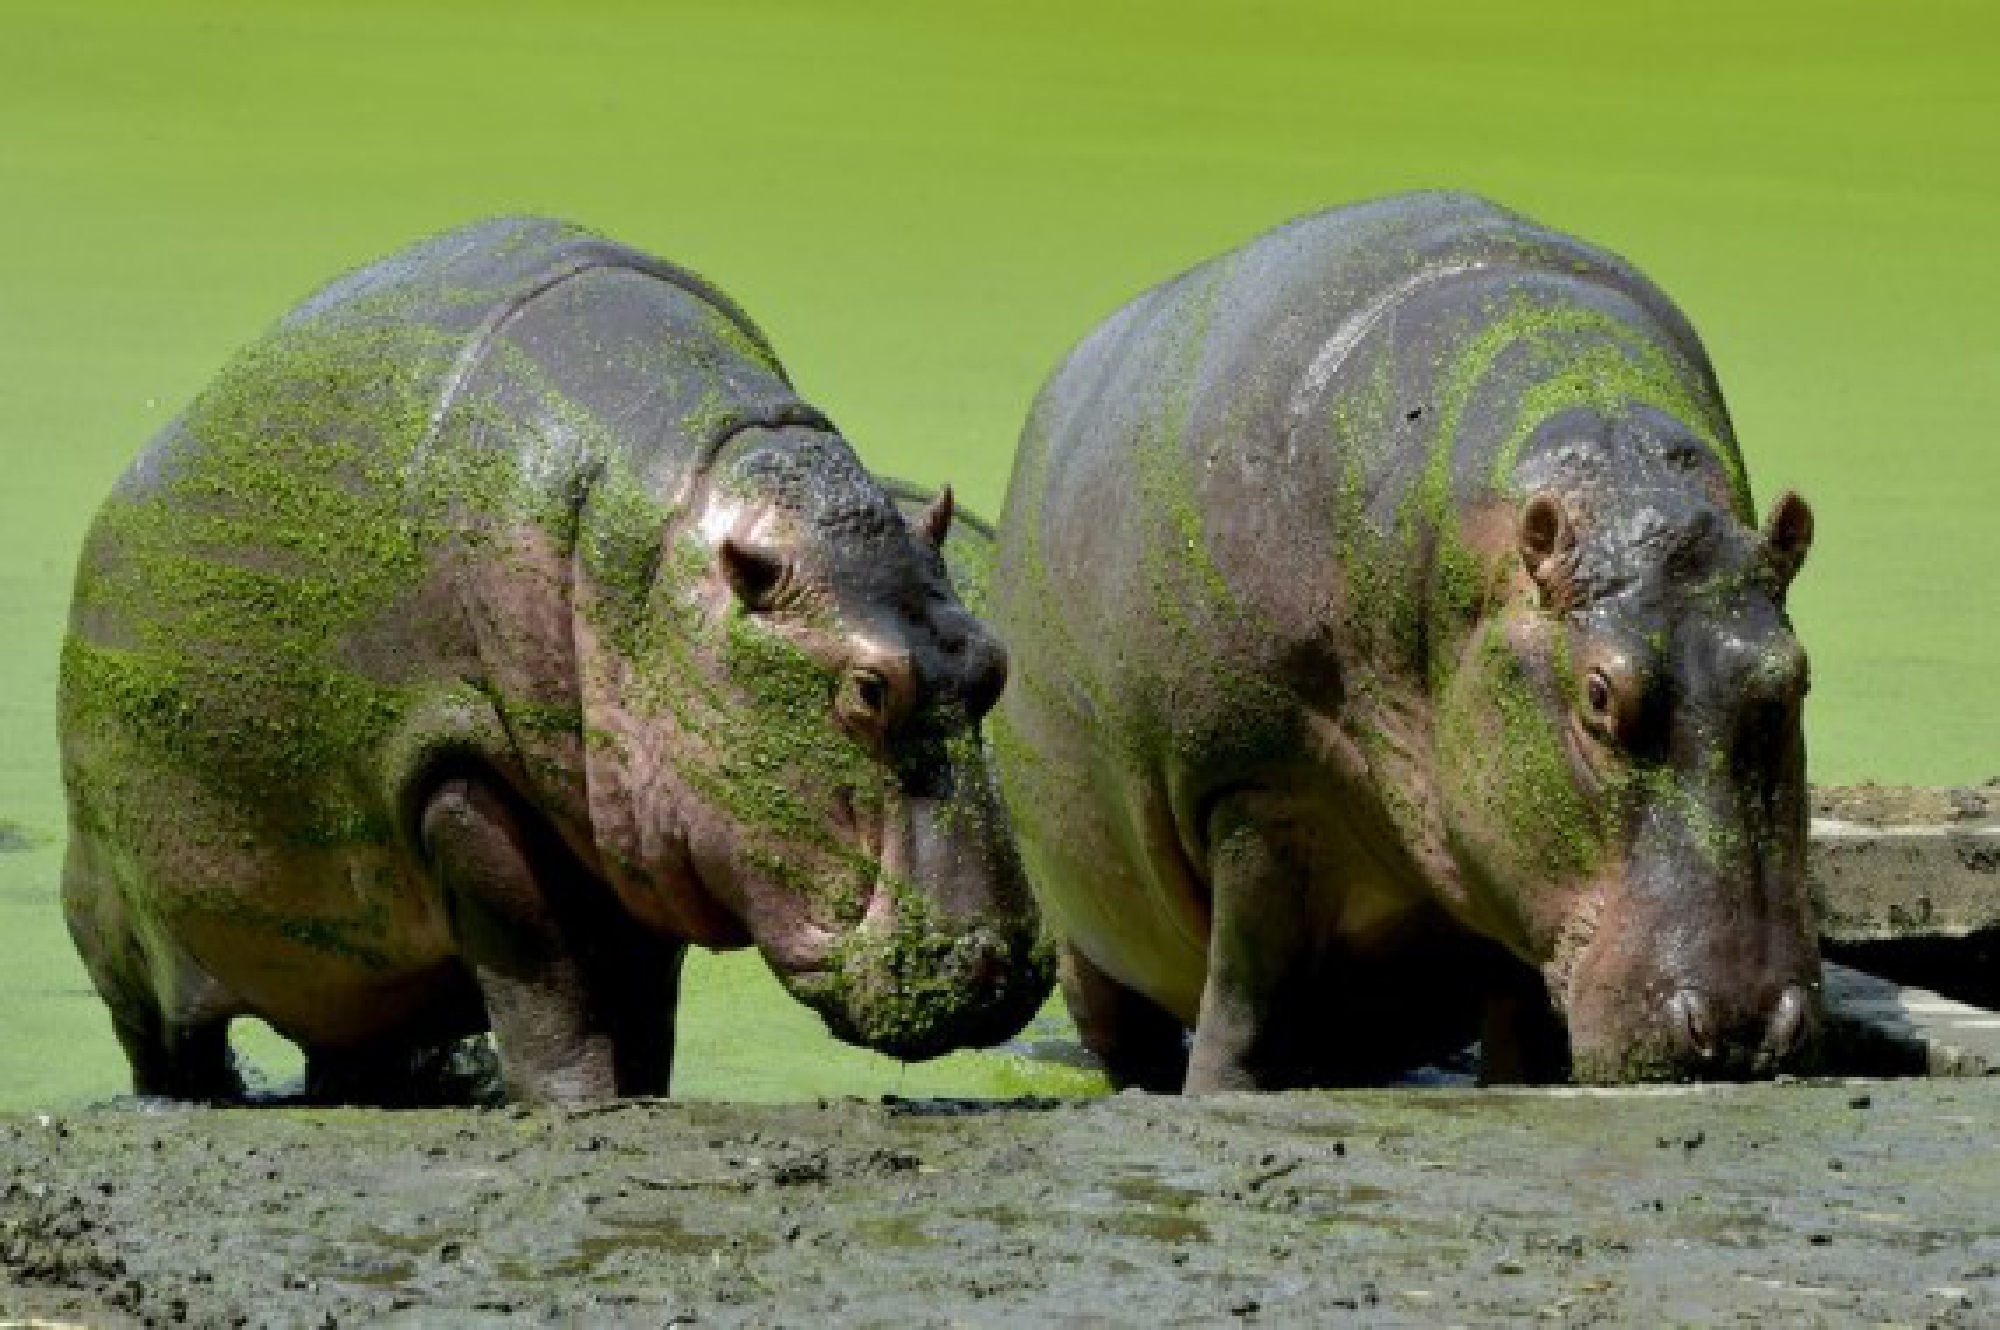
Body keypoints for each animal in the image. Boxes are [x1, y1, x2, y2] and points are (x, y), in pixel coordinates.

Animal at [61, 217, 1051, 1105]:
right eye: (868, 690)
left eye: (994, 661)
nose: (1001, 964)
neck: (663, 562)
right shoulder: (461, 773)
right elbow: (542, 976)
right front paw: (577, 1104)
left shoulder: (640, 820)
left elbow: (643, 993)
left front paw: (642, 1095)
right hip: (116, 924)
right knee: (166, 1043)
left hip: (354, 979)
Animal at [990, 192, 1819, 1090]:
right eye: (1599, 692)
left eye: (1795, 677)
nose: (1742, 1027)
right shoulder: (1252, 791)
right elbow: (1244, 1004)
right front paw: (1217, 1092)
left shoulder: (1507, 857)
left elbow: (1520, 1033)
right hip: (1087, 932)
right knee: (1127, 1019)